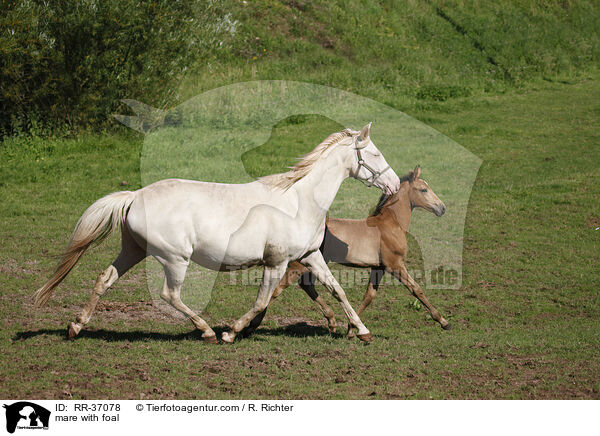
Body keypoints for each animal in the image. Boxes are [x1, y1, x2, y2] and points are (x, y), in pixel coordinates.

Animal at [32, 122, 398, 344]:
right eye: (376, 153)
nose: (394, 185)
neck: (299, 200)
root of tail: (135, 196)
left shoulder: (310, 256)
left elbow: (338, 290)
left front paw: (362, 330)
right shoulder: (276, 262)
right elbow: (261, 300)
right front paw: (231, 333)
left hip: (133, 250)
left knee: (105, 278)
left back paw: (75, 326)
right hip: (175, 259)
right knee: (170, 295)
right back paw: (207, 331)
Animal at [247, 165, 450, 336]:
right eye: (423, 189)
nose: (442, 208)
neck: (391, 225)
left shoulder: (379, 267)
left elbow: (369, 296)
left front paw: (352, 329)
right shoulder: (395, 265)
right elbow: (417, 290)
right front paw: (444, 322)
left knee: (306, 285)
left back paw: (331, 322)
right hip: (300, 264)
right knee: (278, 289)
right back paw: (252, 325)